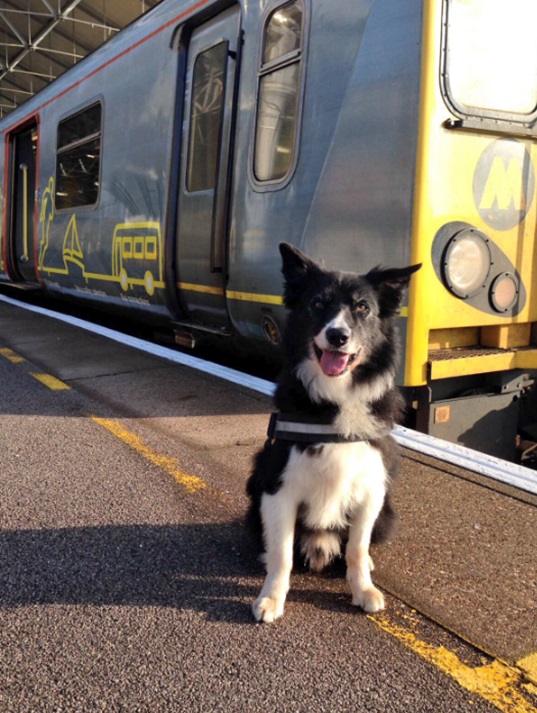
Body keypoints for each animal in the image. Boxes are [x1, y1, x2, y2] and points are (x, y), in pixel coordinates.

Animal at [246, 245, 418, 624]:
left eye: (363, 307)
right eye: (317, 303)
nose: (338, 336)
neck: (334, 397)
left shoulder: (371, 489)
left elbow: (356, 548)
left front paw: (363, 588)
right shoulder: (278, 485)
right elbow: (282, 553)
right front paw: (271, 598)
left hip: (388, 514)